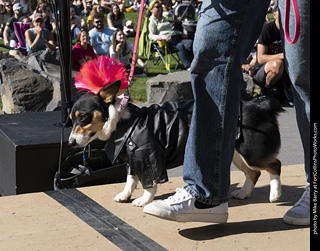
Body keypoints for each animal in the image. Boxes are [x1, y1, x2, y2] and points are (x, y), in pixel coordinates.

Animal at [69, 81, 284, 208]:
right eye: (71, 119)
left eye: (84, 118)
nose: (70, 142)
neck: (121, 120)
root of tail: (259, 105)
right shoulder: (132, 160)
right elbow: (130, 181)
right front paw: (124, 195)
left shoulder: (148, 159)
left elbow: (149, 185)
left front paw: (144, 201)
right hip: (237, 156)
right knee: (254, 173)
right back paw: (244, 194)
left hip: (252, 152)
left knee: (275, 165)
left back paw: (275, 194)